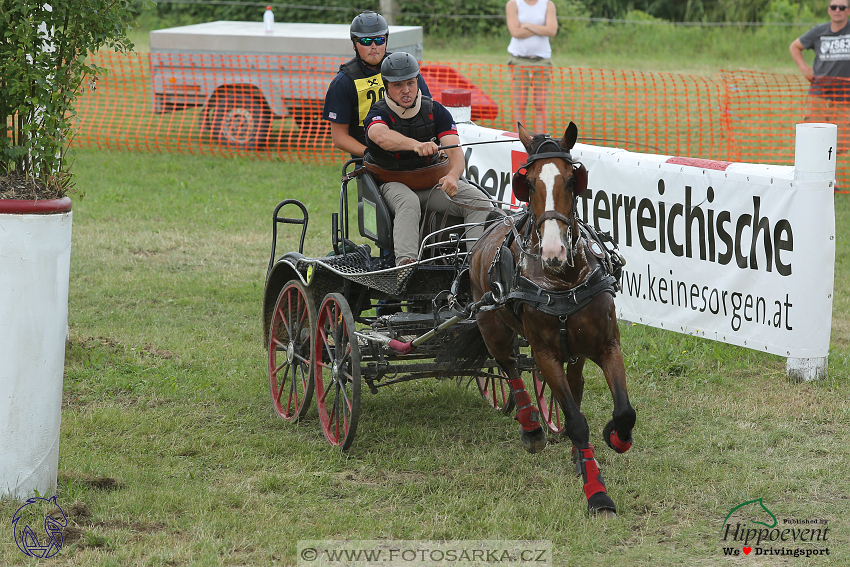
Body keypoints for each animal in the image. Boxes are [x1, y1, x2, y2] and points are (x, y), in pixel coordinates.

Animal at [454, 122, 632, 516]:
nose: (553, 252)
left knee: (573, 386)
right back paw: (532, 429)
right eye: (530, 183)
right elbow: (577, 422)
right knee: (509, 369)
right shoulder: (545, 355)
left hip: (575, 352)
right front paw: (597, 493)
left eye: (571, 180)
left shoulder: (607, 345)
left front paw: (613, 437)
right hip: (493, 328)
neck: (562, 280)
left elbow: (623, 411)